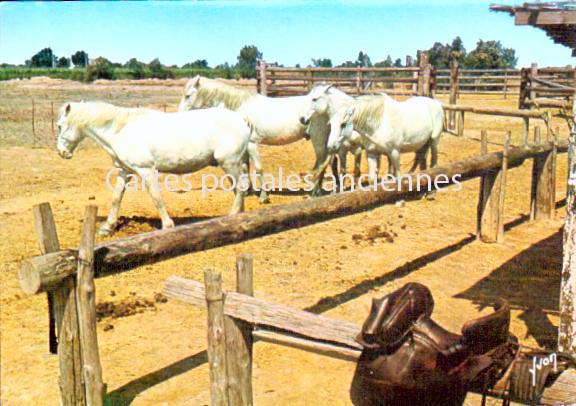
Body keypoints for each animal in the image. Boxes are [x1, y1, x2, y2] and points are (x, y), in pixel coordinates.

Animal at [56, 101, 252, 235]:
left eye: (59, 126)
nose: (61, 152)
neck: (121, 130)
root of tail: (241, 119)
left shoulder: (146, 170)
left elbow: (156, 197)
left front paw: (167, 225)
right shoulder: (125, 171)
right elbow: (116, 198)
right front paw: (107, 227)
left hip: (229, 162)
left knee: (241, 187)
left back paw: (232, 216)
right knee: (238, 189)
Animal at [178, 75, 330, 198]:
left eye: (188, 95)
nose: (179, 113)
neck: (240, 107)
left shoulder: (252, 143)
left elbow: (258, 168)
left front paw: (263, 196)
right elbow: (246, 167)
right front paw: (248, 191)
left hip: (318, 140)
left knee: (321, 163)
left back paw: (315, 192)